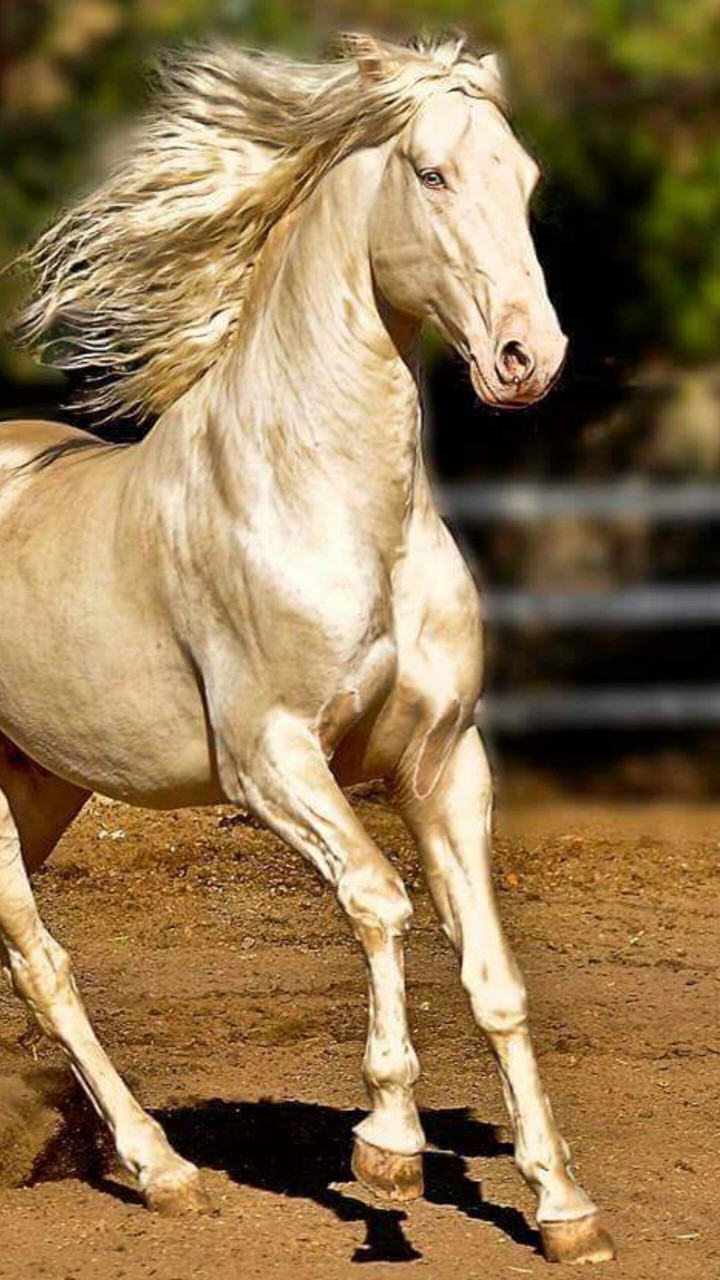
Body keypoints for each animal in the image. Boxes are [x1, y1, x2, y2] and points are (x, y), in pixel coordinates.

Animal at [0, 33, 615, 1264]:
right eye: (431, 173)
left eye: (525, 179)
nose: (528, 356)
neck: (333, 504)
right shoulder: (271, 758)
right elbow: (378, 900)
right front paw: (386, 1147)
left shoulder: (442, 761)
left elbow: (494, 975)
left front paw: (563, 1206)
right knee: (45, 965)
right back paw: (164, 1170)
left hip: (39, 786)